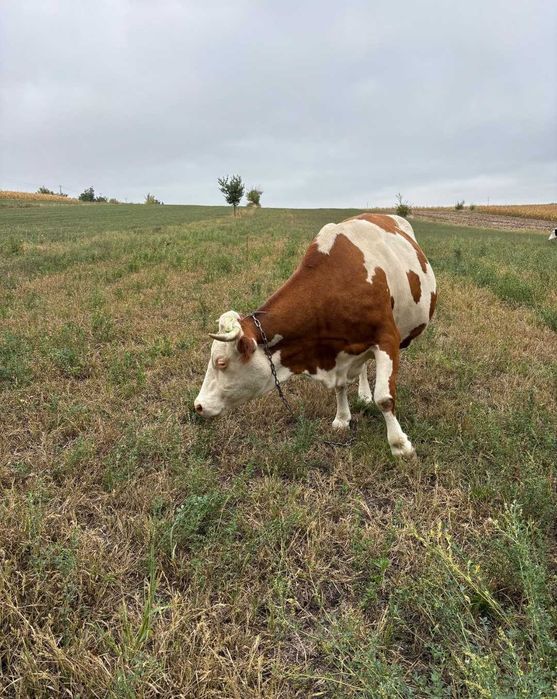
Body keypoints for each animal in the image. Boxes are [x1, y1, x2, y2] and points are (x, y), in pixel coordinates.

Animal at [194, 213, 437, 457]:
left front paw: (400, 445)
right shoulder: (336, 353)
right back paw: (364, 393)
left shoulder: (386, 338)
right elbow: (340, 386)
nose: (198, 405)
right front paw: (342, 418)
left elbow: (385, 398)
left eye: (221, 362)